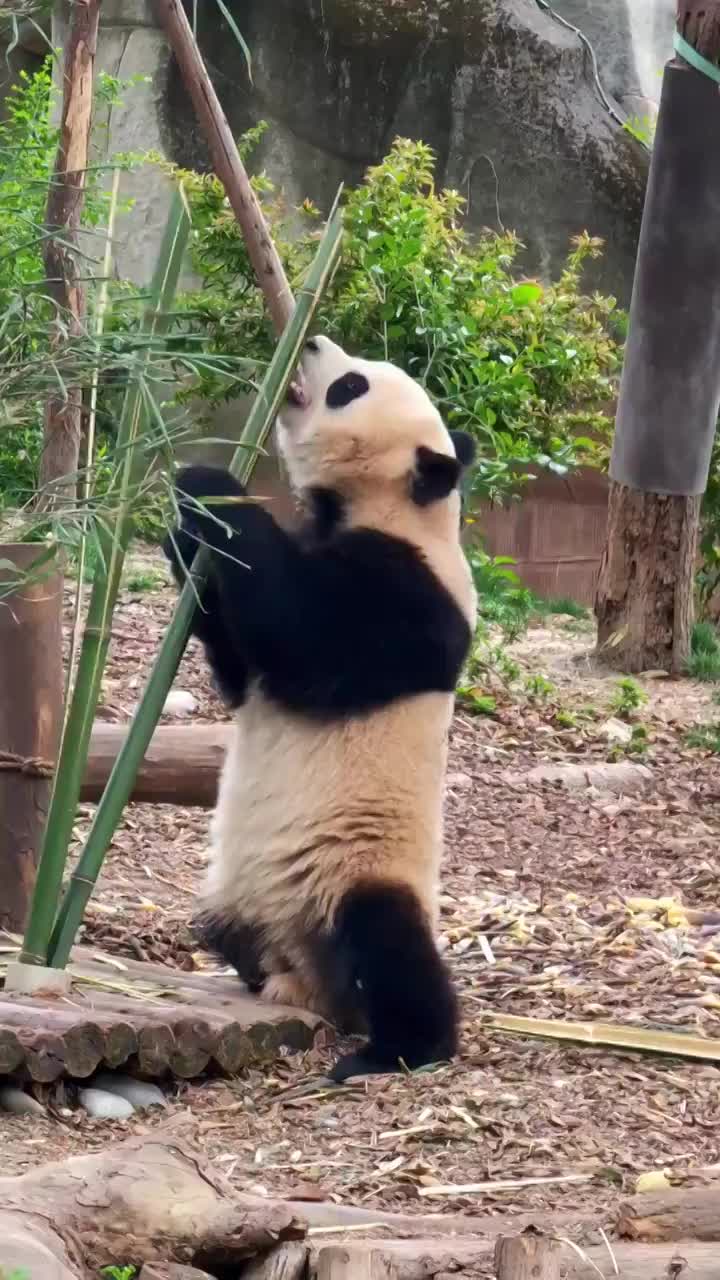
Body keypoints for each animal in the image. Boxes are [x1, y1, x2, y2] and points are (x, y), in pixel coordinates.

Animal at [163, 332, 476, 1080]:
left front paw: (208, 486)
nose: (307, 340)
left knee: (389, 943)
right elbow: (242, 671)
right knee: (223, 926)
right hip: (236, 891)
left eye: (350, 386)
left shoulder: (416, 593)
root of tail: (311, 982)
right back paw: (256, 973)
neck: (395, 507)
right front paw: (186, 539)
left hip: (359, 867)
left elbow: (307, 639)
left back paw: (396, 1051)